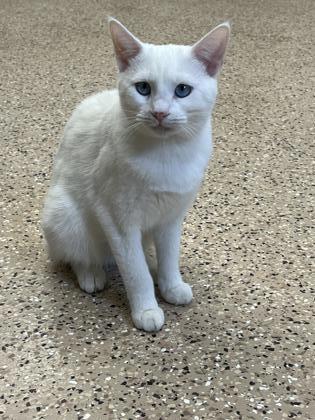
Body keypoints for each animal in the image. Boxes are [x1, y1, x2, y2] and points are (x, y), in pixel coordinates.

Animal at [42, 18, 231, 332]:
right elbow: (136, 271)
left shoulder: (171, 216)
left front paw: (171, 287)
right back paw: (91, 275)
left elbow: (169, 257)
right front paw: (147, 310)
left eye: (182, 90)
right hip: (65, 214)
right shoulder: (117, 219)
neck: (167, 154)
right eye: (143, 88)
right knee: (77, 255)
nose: (160, 113)